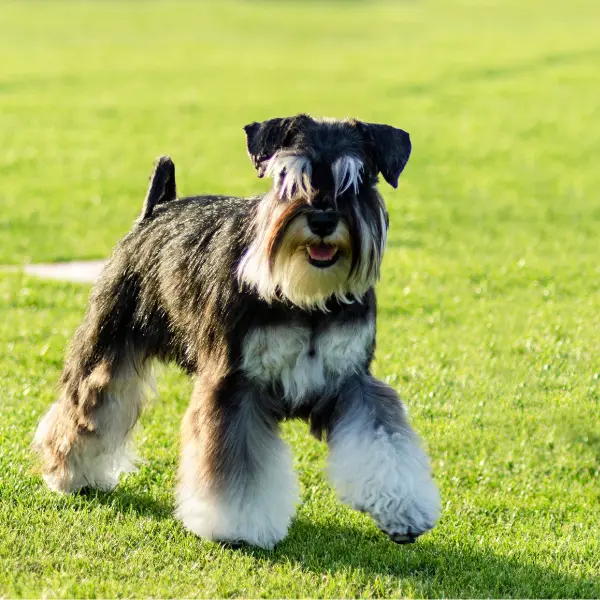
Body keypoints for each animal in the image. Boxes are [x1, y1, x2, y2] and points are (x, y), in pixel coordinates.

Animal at [34, 113, 440, 548]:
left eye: (357, 179)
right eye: (288, 178)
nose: (322, 219)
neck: (306, 297)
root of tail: (156, 210)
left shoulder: (354, 381)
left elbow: (384, 442)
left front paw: (404, 509)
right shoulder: (234, 386)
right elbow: (236, 468)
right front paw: (237, 526)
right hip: (107, 349)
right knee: (86, 410)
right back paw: (70, 473)